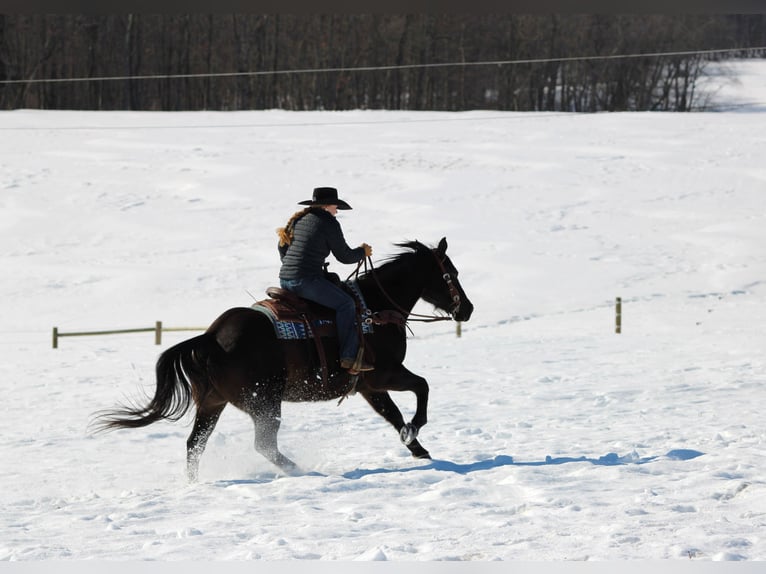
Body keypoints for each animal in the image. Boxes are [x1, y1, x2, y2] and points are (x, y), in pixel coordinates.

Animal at [91, 237, 473, 481]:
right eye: (451, 274)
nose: (467, 309)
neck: (375, 308)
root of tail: (211, 337)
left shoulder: (368, 386)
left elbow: (392, 415)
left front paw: (417, 447)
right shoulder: (384, 374)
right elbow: (422, 387)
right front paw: (416, 430)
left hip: (213, 403)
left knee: (195, 445)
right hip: (265, 402)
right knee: (263, 444)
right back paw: (301, 470)